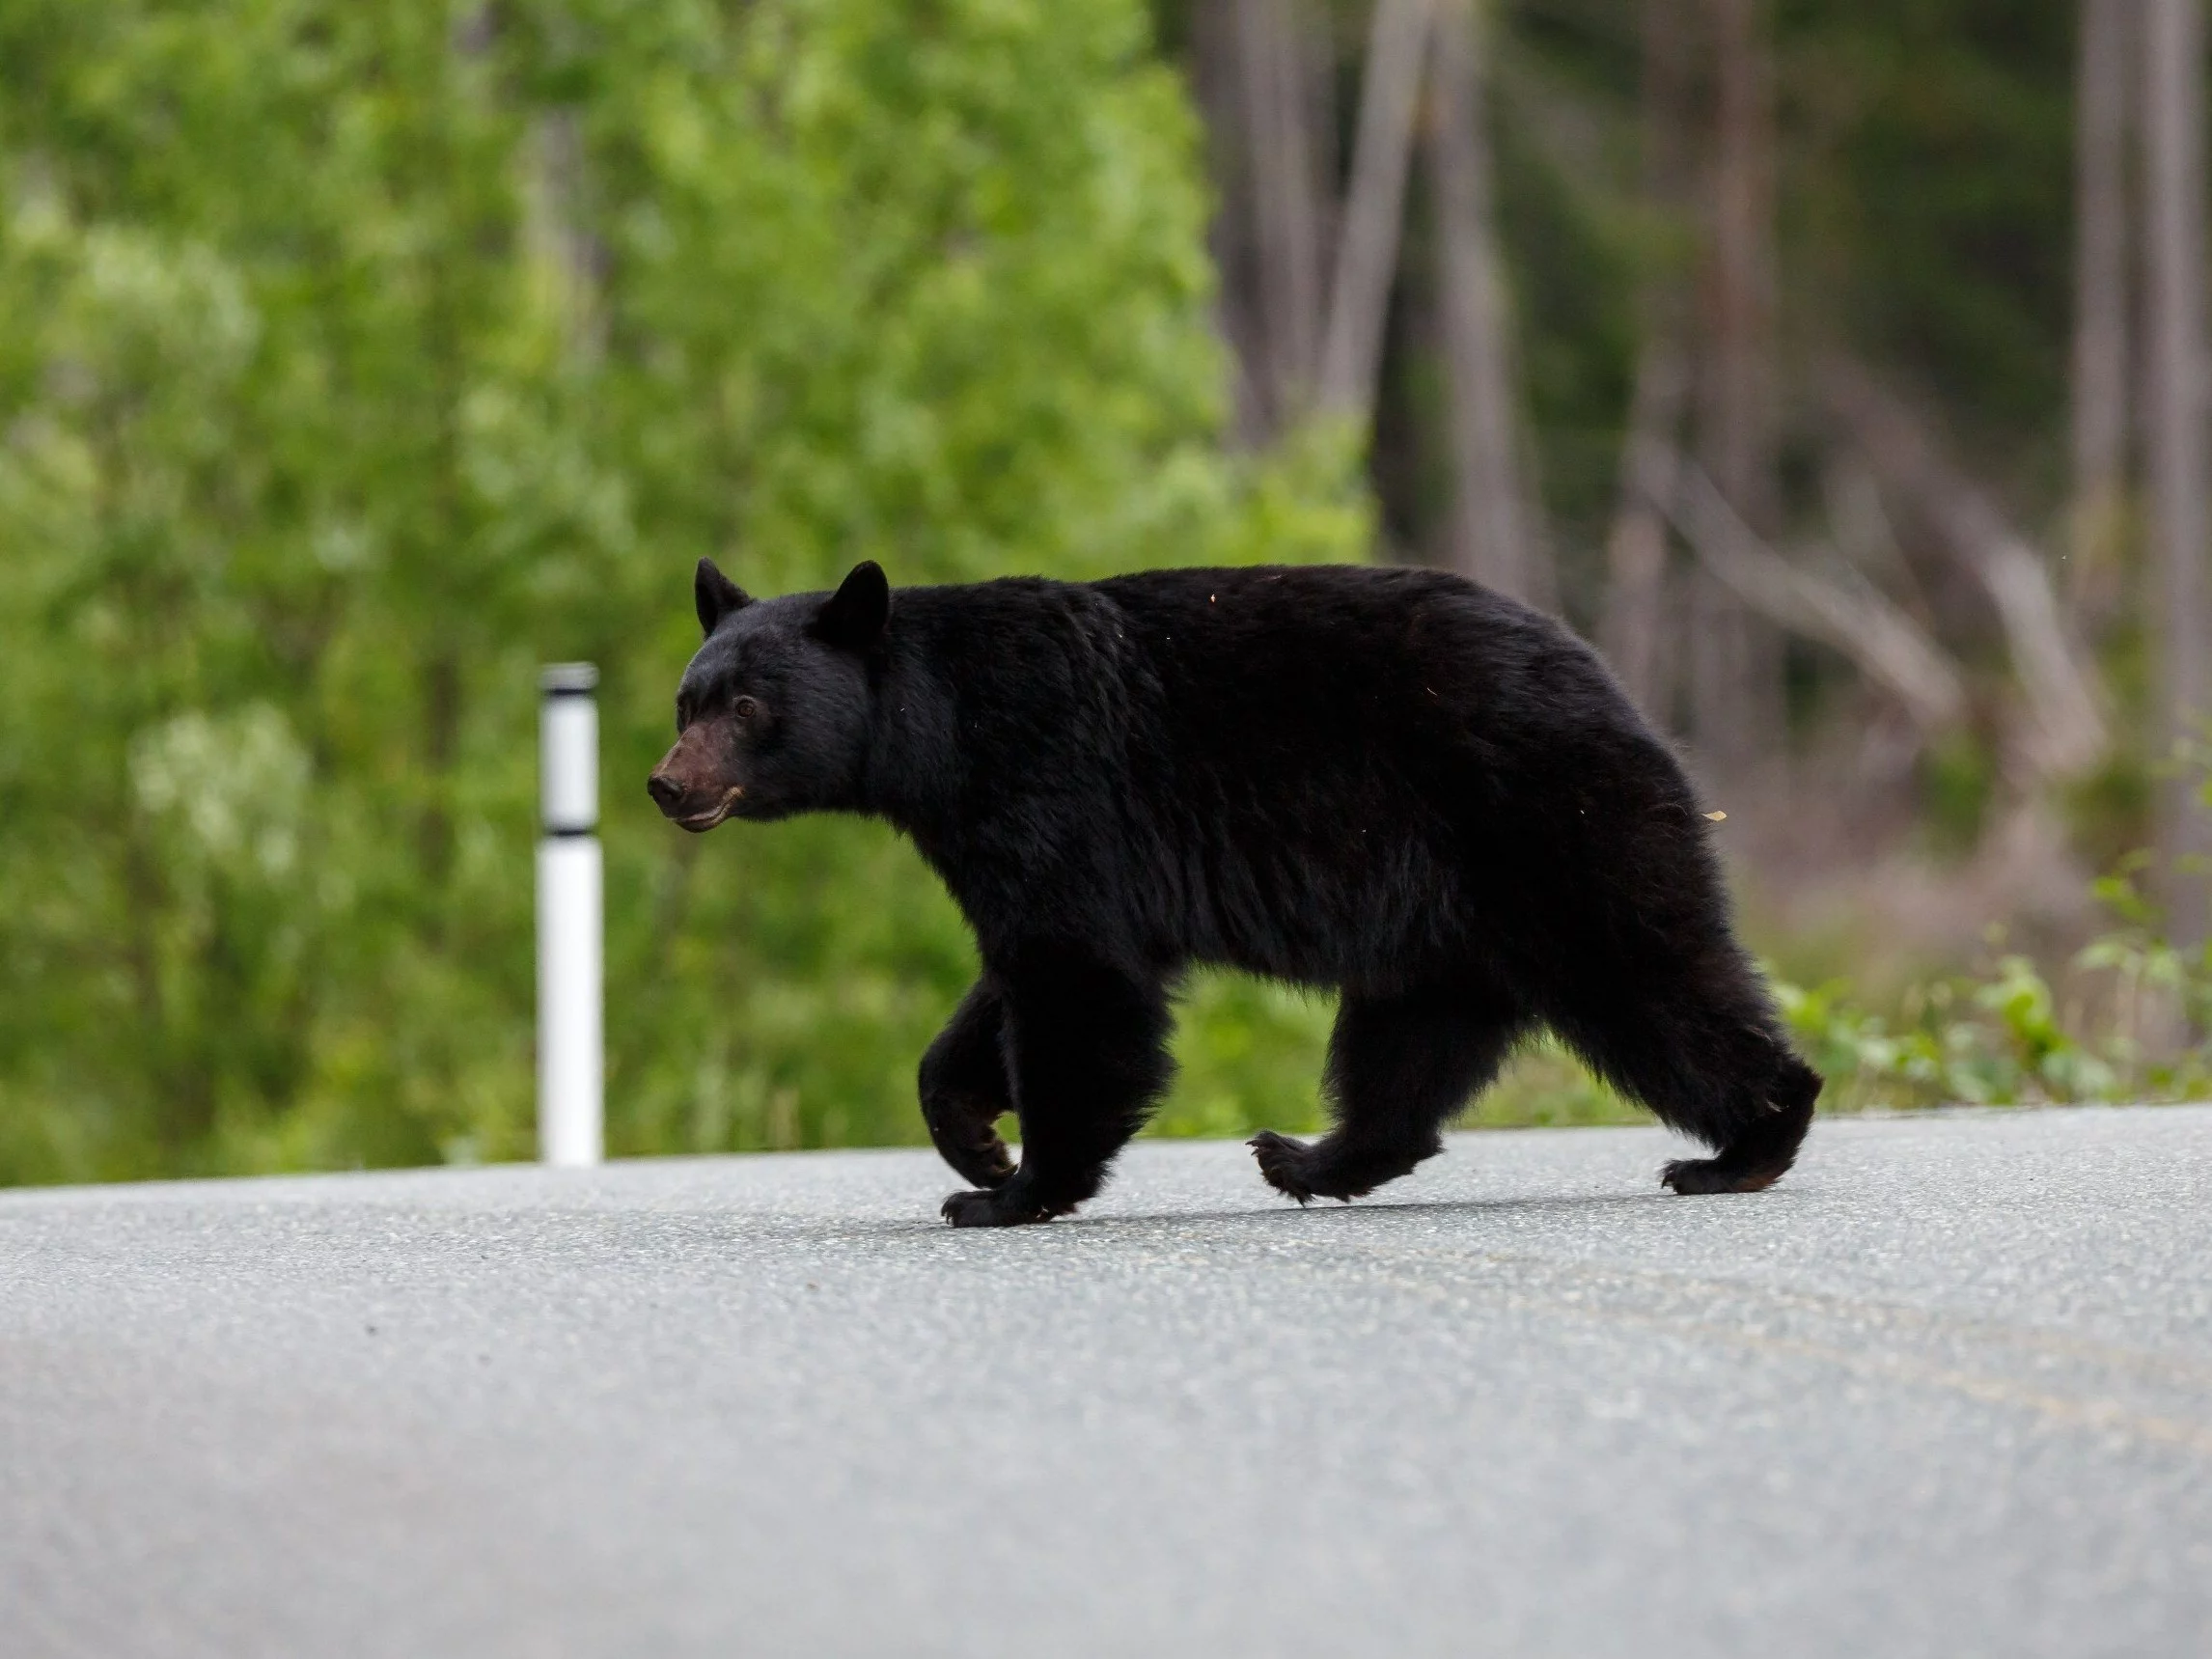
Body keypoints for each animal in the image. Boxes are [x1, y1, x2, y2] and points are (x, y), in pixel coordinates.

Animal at [650, 559, 1813, 1221]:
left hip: (1547, 827)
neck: (940, 730)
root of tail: (1619, 688)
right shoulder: (1014, 838)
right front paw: (976, 1141)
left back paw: (1745, 1147)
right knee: (1410, 1044)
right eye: (686, 698)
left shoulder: (1050, 786)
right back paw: (1308, 1159)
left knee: (1649, 973)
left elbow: (1077, 984)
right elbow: (1014, 982)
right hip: (1447, 910)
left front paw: (1014, 1190)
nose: (668, 784)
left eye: (747, 705)